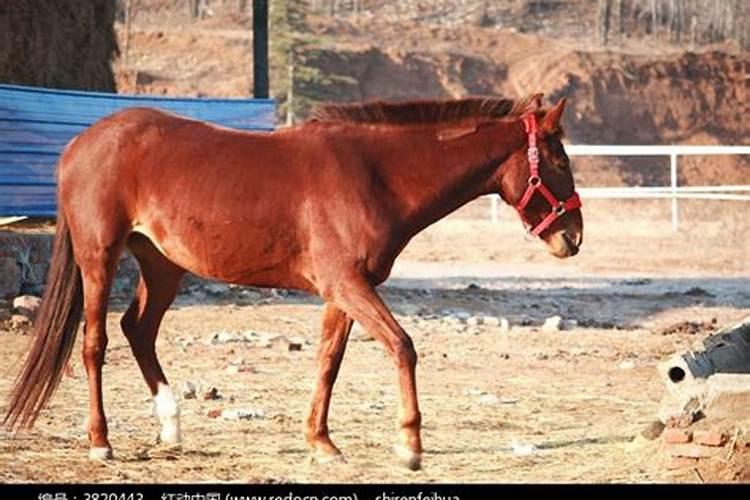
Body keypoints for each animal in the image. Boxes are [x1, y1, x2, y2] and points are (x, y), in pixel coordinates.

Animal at [2, 94, 584, 472]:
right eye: (558, 159)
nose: (573, 237)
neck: (374, 174)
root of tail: (80, 144)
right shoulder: (348, 285)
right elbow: (403, 346)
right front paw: (410, 445)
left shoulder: (343, 291)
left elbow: (329, 361)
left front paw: (321, 443)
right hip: (99, 257)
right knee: (95, 343)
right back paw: (101, 442)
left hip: (163, 265)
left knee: (138, 330)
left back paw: (171, 425)